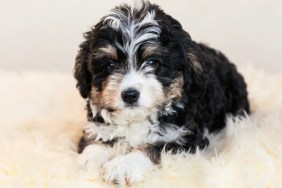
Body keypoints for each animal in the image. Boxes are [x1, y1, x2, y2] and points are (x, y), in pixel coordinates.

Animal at [74, 0, 250, 185]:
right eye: (110, 66)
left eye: (152, 62)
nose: (130, 95)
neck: (137, 118)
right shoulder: (97, 126)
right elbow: (96, 139)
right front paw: (88, 160)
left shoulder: (183, 138)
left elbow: (154, 148)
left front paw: (122, 166)